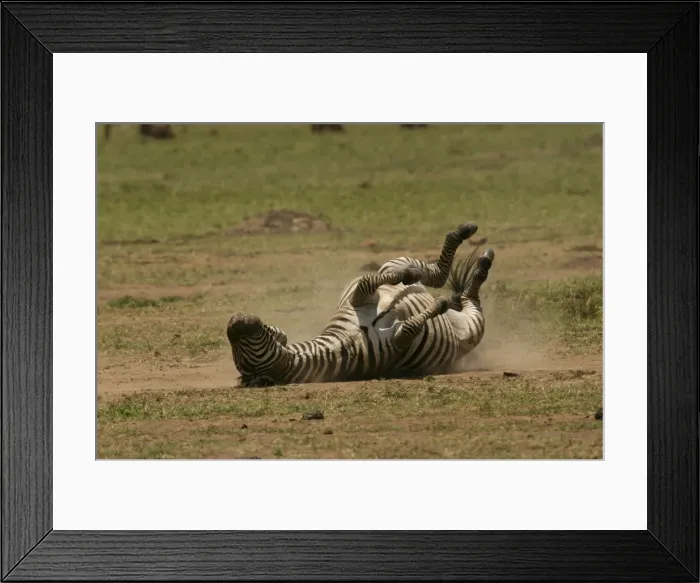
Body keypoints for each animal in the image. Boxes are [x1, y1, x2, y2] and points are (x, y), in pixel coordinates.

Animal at [226, 222, 495, 387]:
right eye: (240, 355)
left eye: (237, 347)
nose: (233, 320)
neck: (339, 344)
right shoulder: (397, 343)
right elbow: (409, 328)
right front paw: (438, 304)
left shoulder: (360, 298)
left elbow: (367, 280)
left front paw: (407, 277)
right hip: (471, 329)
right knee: (467, 298)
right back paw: (480, 266)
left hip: (394, 262)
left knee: (433, 273)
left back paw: (462, 236)